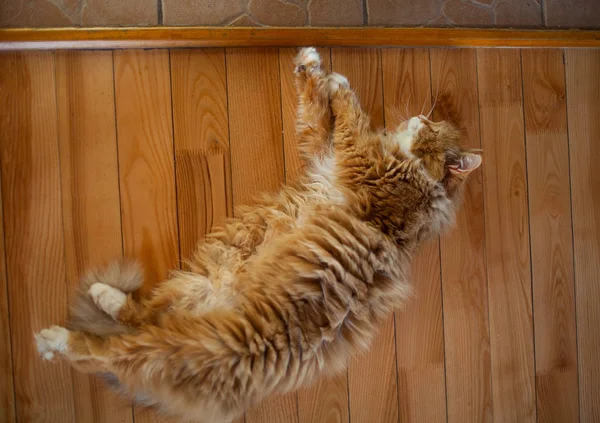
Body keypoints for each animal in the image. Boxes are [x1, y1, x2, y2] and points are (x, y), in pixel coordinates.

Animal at [34, 47, 482, 423]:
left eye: (430, 126)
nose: (418, 117)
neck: (420, 184)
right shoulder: (327, 150)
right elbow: (318, 111)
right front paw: (314, 67)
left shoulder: (360, 161)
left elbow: (349, 114)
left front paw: (337, 80)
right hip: (202, 278)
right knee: (137, 316)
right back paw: (103, 297)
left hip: (199, 343)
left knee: (110, 353)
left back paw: (56, 340)